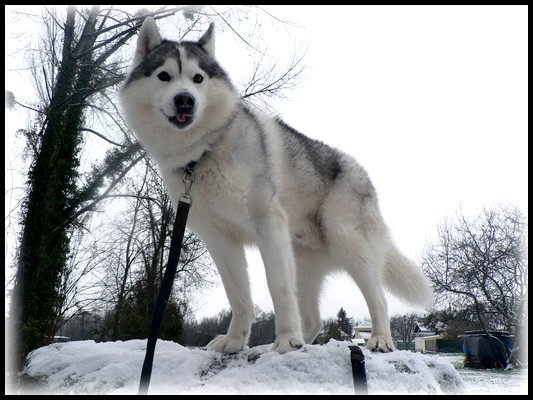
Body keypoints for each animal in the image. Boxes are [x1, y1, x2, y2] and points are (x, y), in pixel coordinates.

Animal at [120, 17, 432, 354]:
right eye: (164, 76)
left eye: (197, 78)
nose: (185, 100)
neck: (205, 151)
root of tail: (362, 173)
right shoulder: (219, 238)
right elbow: (238, 296)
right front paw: (236, 340)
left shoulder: (268, 224)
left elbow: (278, 287)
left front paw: (286, 339)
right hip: (305, 264)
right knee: (315, 320)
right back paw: (294, 343)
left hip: (348, 244)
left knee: (379, 299)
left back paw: (379, 339)